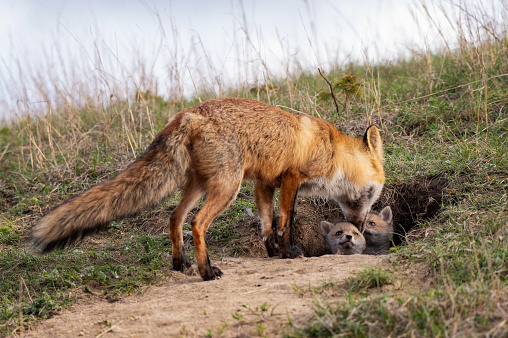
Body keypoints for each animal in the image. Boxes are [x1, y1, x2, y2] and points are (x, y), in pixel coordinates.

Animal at [29, 97, 382, 280]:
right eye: (375, 193)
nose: (361, 227)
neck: (331, 150)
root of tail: (188, 113)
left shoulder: (263, 183)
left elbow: (267, 225)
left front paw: (274, 254)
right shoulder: (290, 179)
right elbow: (286, 221)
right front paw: (291, 252)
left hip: (201, 185)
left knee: (175, 218)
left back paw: (180, 263)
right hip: (226, 188)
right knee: (197, 223)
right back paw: (206, 270)